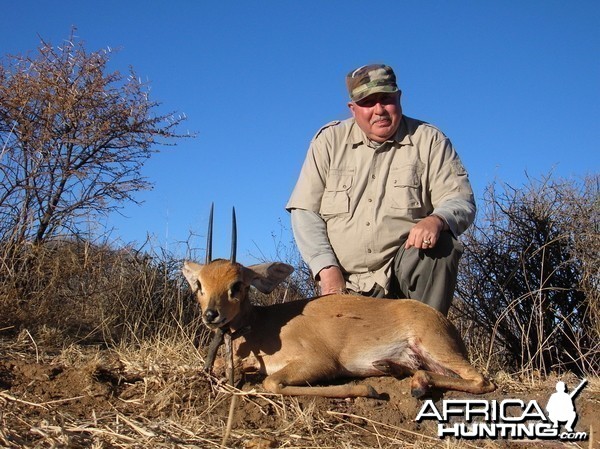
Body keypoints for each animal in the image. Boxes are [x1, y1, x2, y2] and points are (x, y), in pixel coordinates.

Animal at [182, 208, 492, 398]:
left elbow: (271, 381)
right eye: (200, 285)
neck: (262, 325)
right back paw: (394, 369)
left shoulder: (319, 361)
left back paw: (416, 383)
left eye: (237, 285)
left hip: (435, 345)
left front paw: (367, 391)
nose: (211, 315)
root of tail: (444, 322)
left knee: (482, 380)